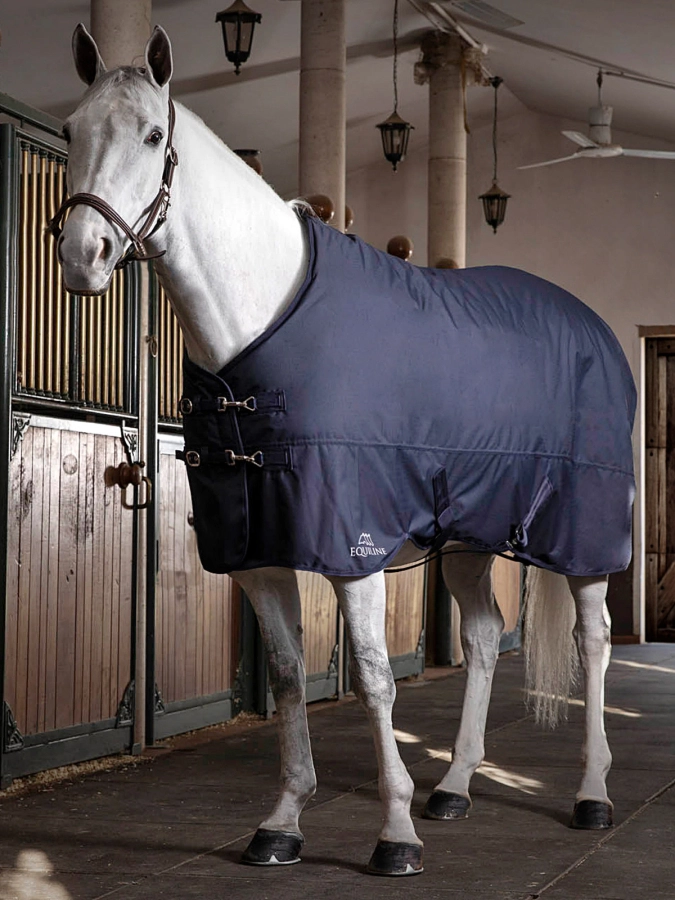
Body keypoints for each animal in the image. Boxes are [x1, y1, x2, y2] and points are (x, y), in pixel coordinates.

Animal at [53, 24, 636, 877]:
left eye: (154, 135)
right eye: (69, 130)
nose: (82, 255)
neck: (260, 327)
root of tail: (593, 327)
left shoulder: (353, 541)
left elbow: (370, 679)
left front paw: (394, 837)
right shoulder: (255, 548)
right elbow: (291, 677)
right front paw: (282, 824)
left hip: (581, 531)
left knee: (592, 643)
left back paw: (591, 796)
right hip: (469, 535)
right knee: (483, 637)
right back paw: (454, 788)